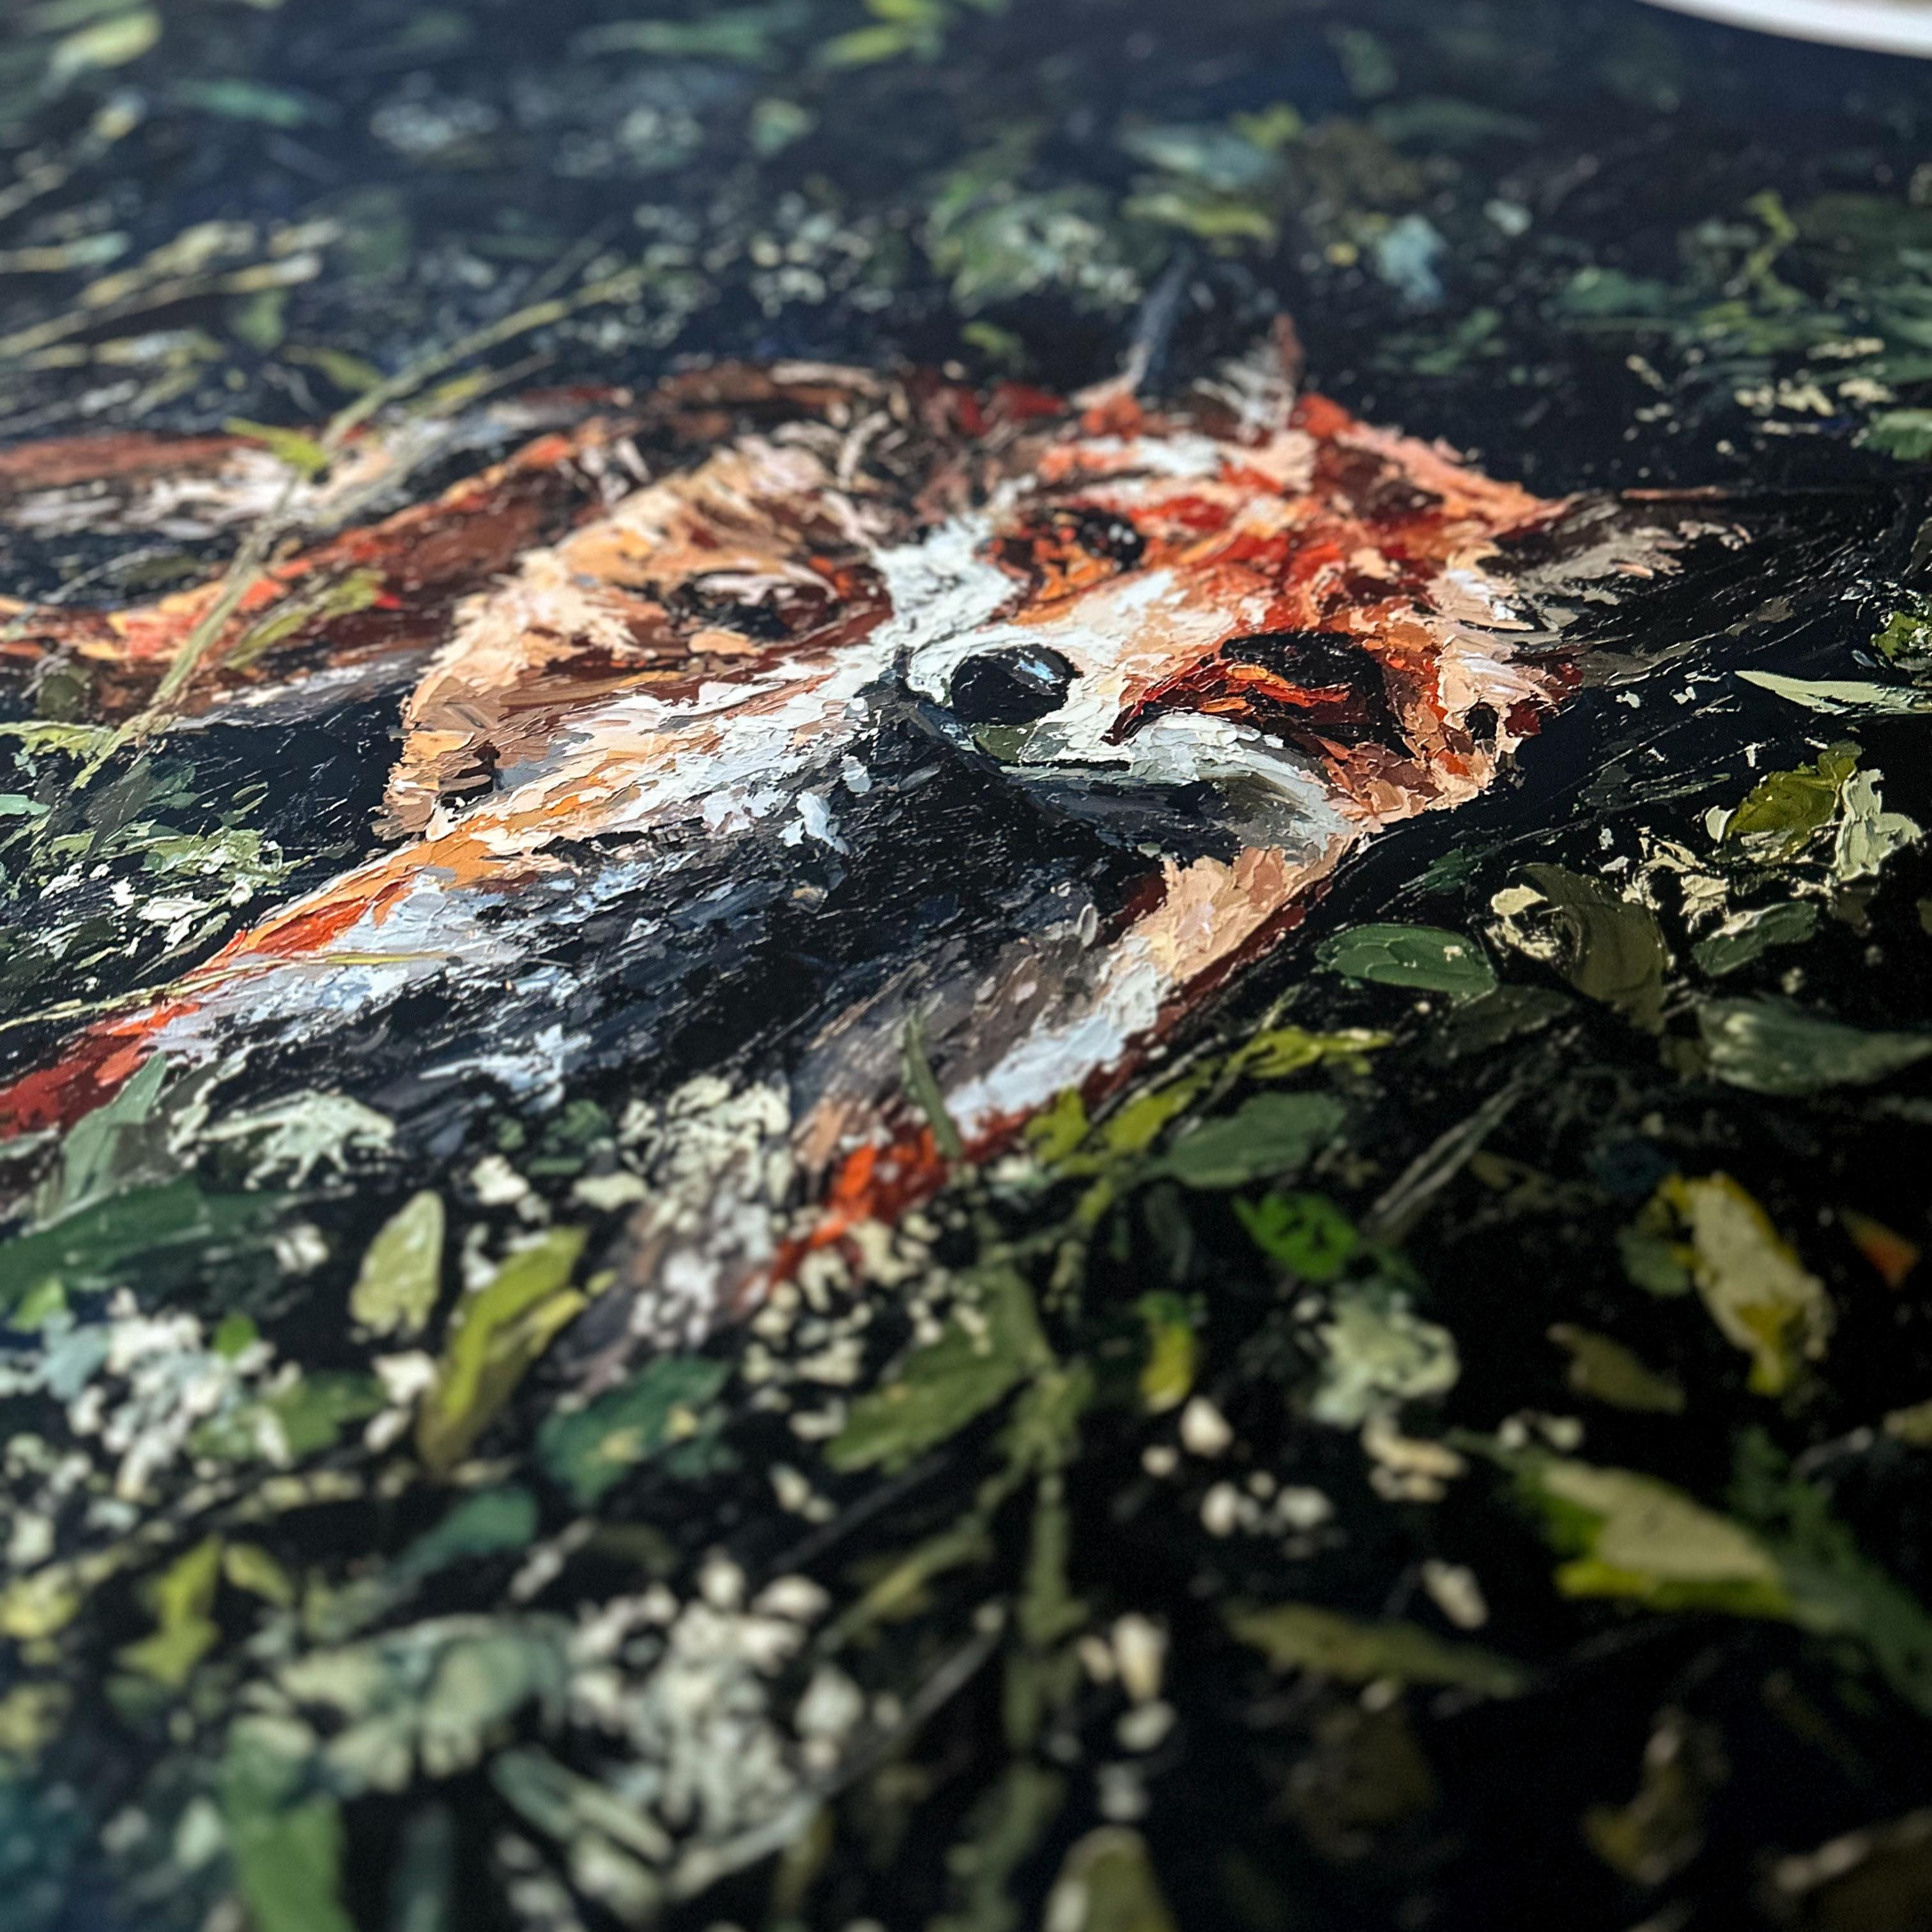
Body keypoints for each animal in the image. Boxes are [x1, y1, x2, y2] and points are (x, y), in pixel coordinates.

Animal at [0, 335, 1685, 1340]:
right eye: (1099, 536)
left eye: (1308, 661)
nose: (1008, 683)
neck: (867, 896)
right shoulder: (405, 936)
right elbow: (97, 1079)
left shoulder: (805, 1186)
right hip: (282, 657)